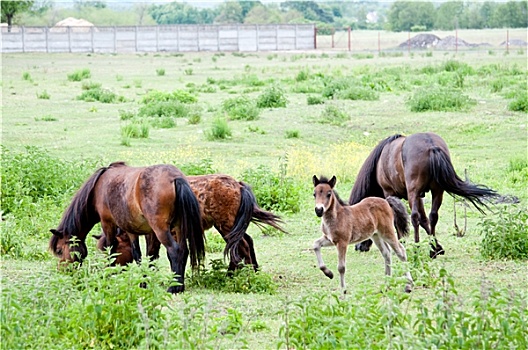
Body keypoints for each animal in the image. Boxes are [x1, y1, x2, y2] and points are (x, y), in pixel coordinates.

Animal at [49, 161, 205, 292]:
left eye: (59, 250)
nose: (62, 270)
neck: (98, 187)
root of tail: (175, 178)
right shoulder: (136, 230)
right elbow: (146, 256)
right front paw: (145, 281)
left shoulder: (108, 223)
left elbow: (112, 251)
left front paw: (108, 278)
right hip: (178, 228)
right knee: (184, 251)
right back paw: (180, 285)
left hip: (161, 229)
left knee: (175, 251)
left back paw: (174, 287)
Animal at [93, 175, 286, 270]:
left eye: (113, 250)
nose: (105, 271)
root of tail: (237, 184)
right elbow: (153, 255)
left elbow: (155, 254)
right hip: (232, 226)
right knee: (246, 242)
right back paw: (252, 269)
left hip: (226, 226)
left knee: (241, 246)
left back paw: (235, 273)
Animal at [350, 132, 500, 258]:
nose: (358, 247)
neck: (381, 160)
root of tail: (431, 146)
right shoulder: (419, 196)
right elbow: (424, 220)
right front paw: (437, 247)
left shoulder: (391, 193)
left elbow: (399, 219)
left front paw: (401, 242)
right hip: (436, 191)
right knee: (433, 216)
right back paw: (433, 251)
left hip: (414, 192)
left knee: (415, 217)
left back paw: (417, 247)